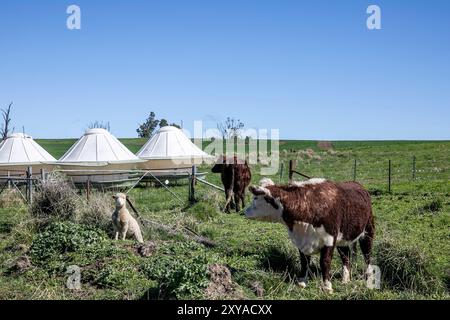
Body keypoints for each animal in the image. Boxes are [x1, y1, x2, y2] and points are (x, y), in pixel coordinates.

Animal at [244, 178, 374, 292]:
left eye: (255, 198)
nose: (244, 212)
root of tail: (357, 184)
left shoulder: (329, 238)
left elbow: (325, 262)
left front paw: (327, 286)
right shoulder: (301, 241)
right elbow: (304, 261)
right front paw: (302, 282)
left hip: (368, 231)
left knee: (367, 255)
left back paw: (369, 277)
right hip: (343, 238)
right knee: (346, 257)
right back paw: (345, 280)